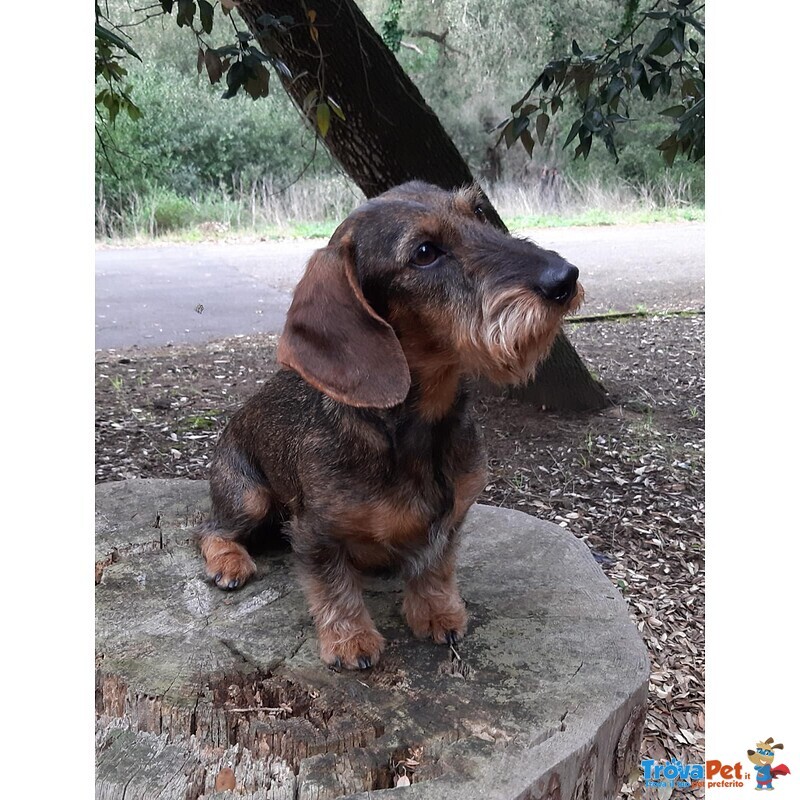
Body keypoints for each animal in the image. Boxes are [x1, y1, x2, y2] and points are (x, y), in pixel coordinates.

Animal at [194, 181, 580, 668]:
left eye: (478, 212)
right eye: (424, 252)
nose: (565, 277)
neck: (417, 427)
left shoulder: (452, 515)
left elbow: (434, 568)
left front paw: (437, 613)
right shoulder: (315, 532)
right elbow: (334, 587)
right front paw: (350, 639)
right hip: (249, 497)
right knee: (207, 529)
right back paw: (229, 560)